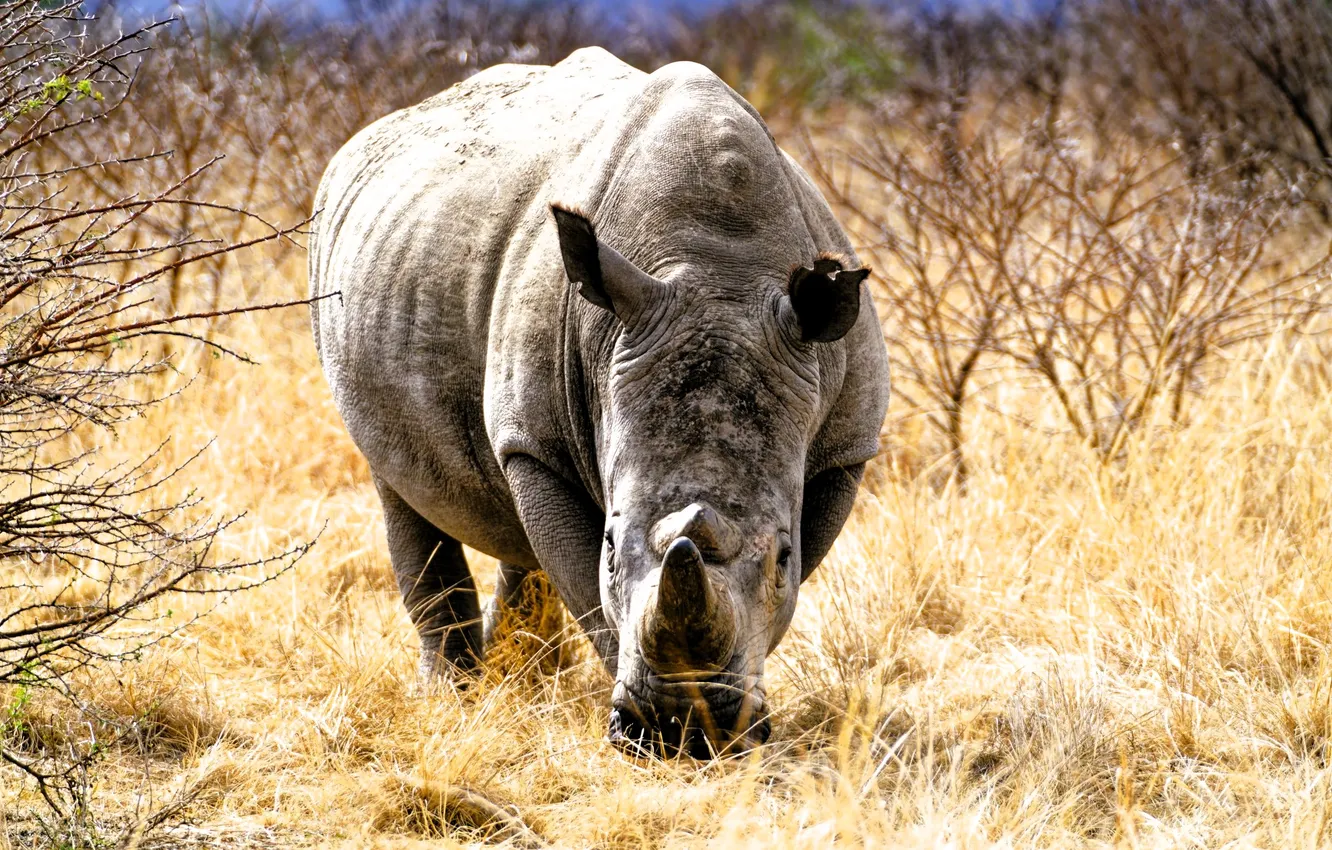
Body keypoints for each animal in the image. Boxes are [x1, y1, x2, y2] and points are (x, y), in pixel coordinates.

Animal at [308, 47, 889, 757]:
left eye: (783, 553)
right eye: (611, 545)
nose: (683, 733)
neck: (718, 271)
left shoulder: (844, 448)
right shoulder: (536, 443)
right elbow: (588, 586)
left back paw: (522, 674)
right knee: (400, 483)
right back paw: (457, 696)